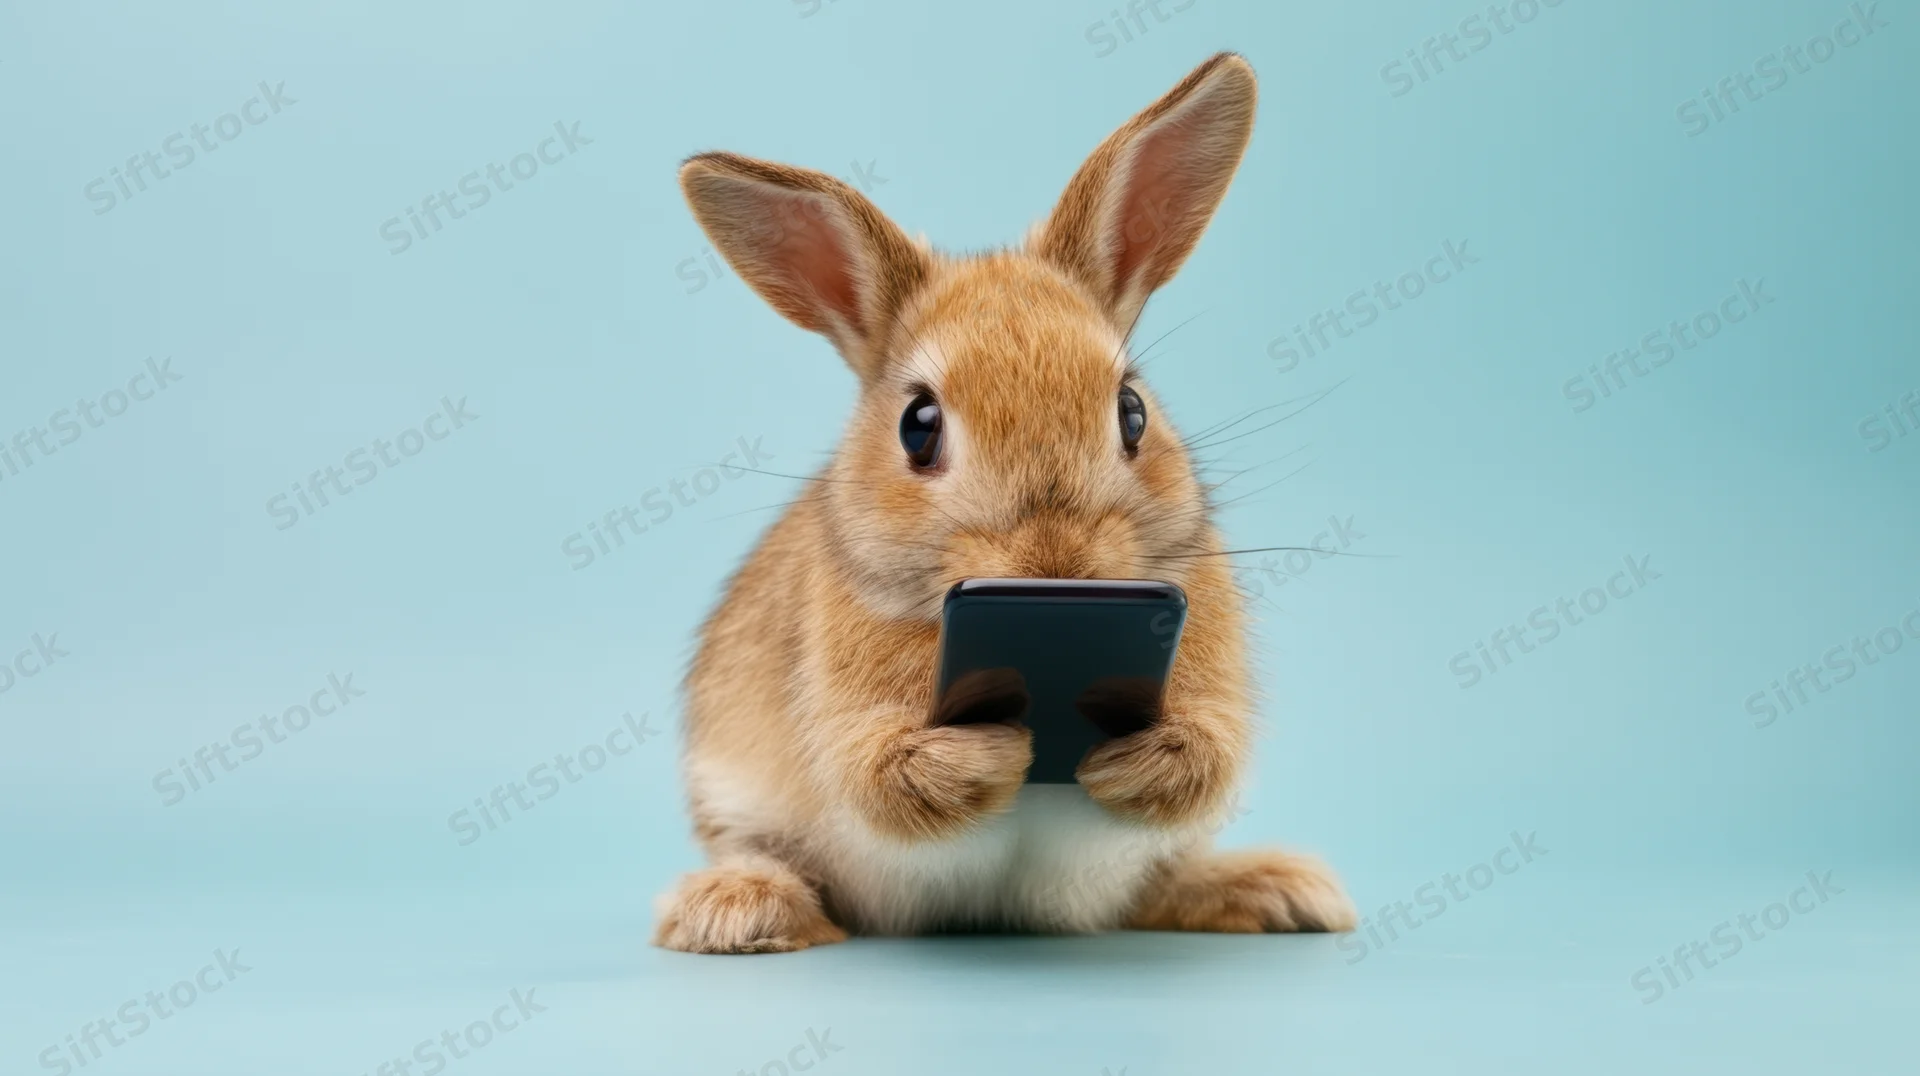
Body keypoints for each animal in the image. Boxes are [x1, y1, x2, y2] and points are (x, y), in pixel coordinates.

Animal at [654, 52, 1356, 953]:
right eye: (918, 426)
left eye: (1132, 411)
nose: (1055, 566)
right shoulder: (843, 719)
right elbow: (882, 776)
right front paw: (990, 754)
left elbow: (1206, 751)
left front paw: (1132, 757)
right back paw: (738, 909)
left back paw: (1278, 890)